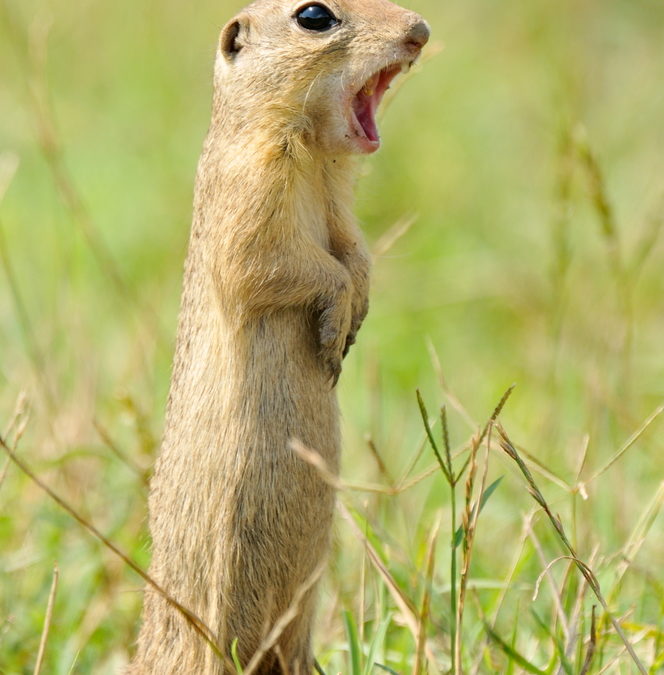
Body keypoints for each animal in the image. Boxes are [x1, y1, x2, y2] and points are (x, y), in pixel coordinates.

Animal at [128, 2, 430, 672]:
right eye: (313, 15)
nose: (420, 30)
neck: (316, 152)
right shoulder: (252, 185)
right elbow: (270, 263)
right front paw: (335, 325)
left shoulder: (340, 204)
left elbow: (354, 253)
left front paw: (354, 320)